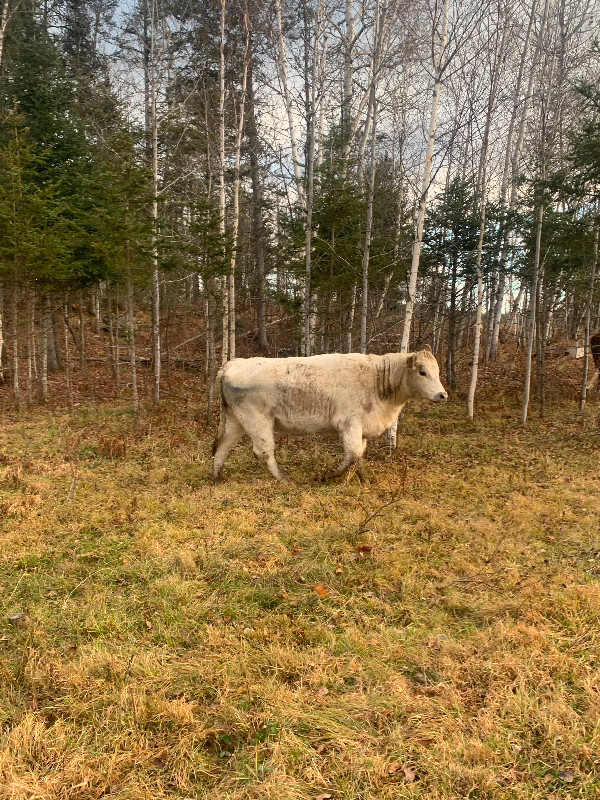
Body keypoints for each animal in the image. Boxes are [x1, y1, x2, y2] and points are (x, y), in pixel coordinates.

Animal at [211, 346, 446, 482]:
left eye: (437, 372)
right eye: (422, 372)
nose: (442, 395)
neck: (377, 380)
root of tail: (233, 364)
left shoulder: (361, 428)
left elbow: (359, 455)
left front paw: (365, 479)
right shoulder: (350, 423)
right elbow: (353, 454)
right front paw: (327, 476)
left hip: (236, 421)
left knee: (223, 446)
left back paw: (216, 477)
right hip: (258, 422)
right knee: (264, 452)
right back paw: (284, 479)